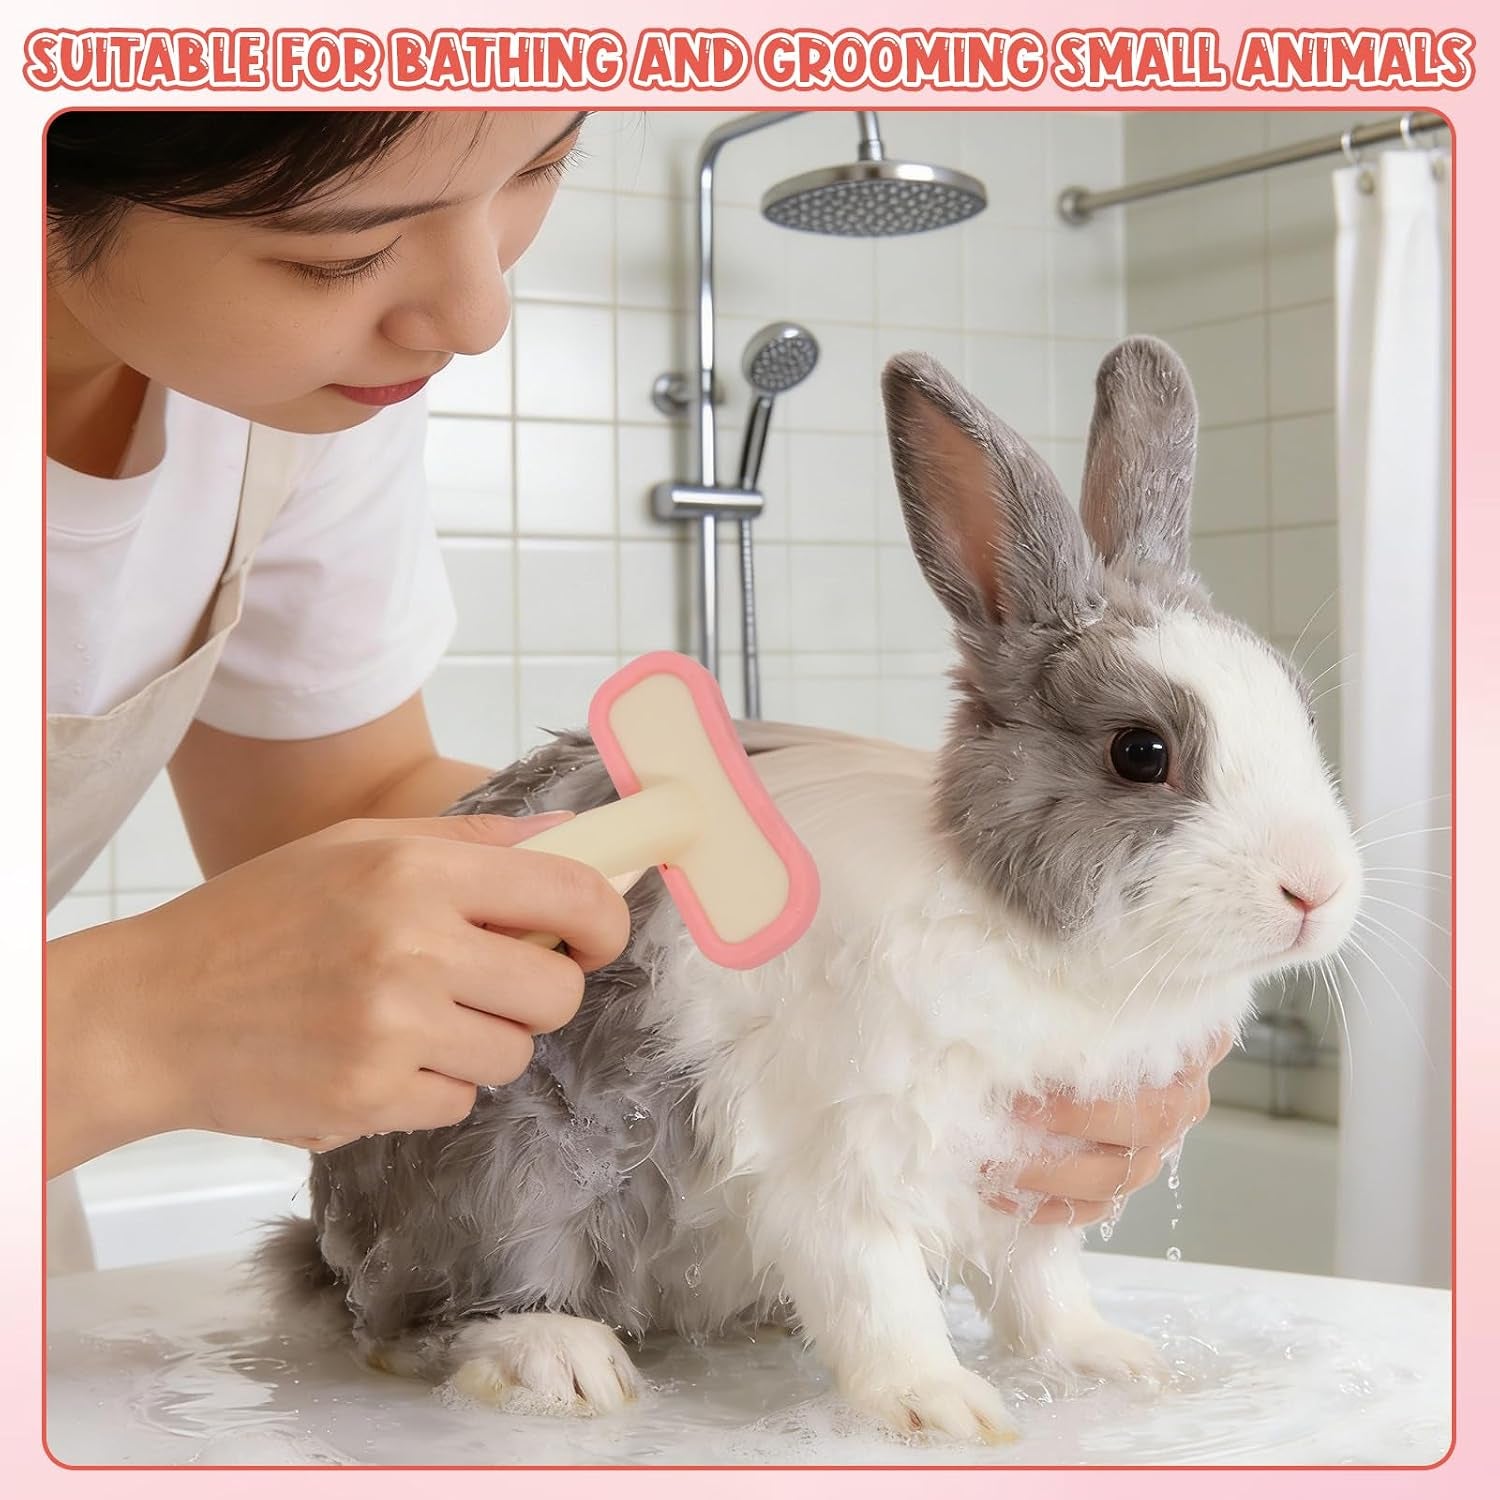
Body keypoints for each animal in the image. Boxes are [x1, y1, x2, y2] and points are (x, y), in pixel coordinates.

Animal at [257, 336, 1362, 1445]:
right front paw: (942, 1411)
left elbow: (1041, 1290)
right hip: (510, 1171)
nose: (1314, 890)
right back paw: (558, 1358)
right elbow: (877, 1290)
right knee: (412, 1324)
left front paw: (1108, 1364)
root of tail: (331, 1233)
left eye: (1300, 712)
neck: (1016, 926)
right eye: (1141, 753)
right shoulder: (838, 1154)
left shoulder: (1019, 1184)